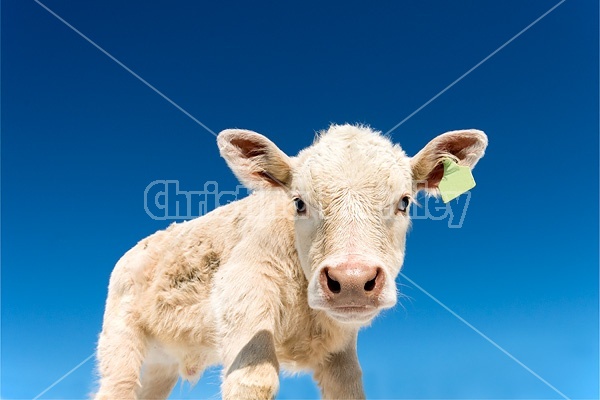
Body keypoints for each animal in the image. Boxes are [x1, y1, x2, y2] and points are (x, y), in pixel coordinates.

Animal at [95, 123, 488, 398]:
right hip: (120, 343)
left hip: (160, 366)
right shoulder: (243, 298)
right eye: (299, 202)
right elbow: (253, 381)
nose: (351, 279)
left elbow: (349, 387)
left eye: (404, 201)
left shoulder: (340, 350)